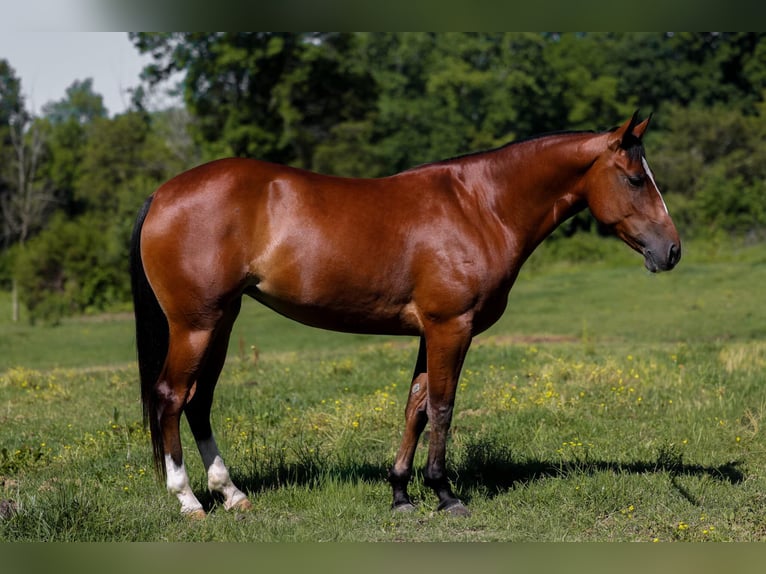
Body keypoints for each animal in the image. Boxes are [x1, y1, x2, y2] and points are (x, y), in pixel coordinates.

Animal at [129, 112, 680, 518]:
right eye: (636, 179)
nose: (672, 251)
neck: (480, 206)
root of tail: (161, 194)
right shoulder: (451, 328)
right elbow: (442, 406)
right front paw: (445, 494)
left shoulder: (429, 332)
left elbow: (415, 405)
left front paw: (400, 493)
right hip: (196, 326)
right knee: (171, 397)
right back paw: (188, 501)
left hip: (221, 323)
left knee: (199, 402)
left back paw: (232, 494)